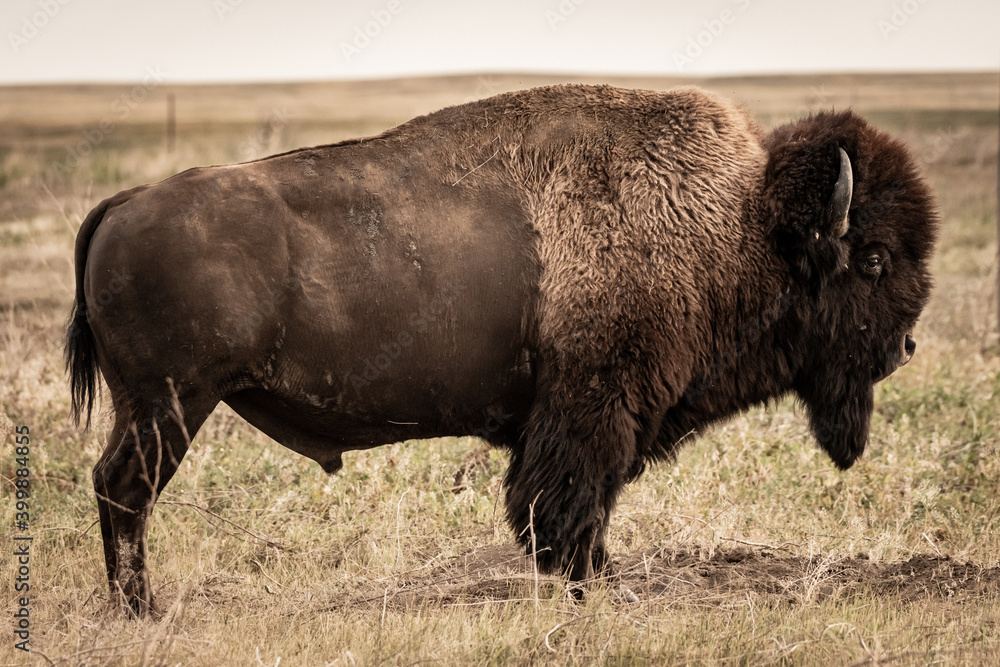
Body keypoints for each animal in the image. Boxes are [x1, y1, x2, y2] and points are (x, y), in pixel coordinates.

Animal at [68, 83, 936, 616]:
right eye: (873, 258)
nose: (906, 346)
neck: (740, 225)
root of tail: (124, 202)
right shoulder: (591, 414)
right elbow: (567, 510)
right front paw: (589, 589)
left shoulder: (580, 424)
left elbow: (579, 511)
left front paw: (595, 583)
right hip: (170, 403)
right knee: (123, 488)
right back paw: (141, 610)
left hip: (161, 405)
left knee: (117, 488)